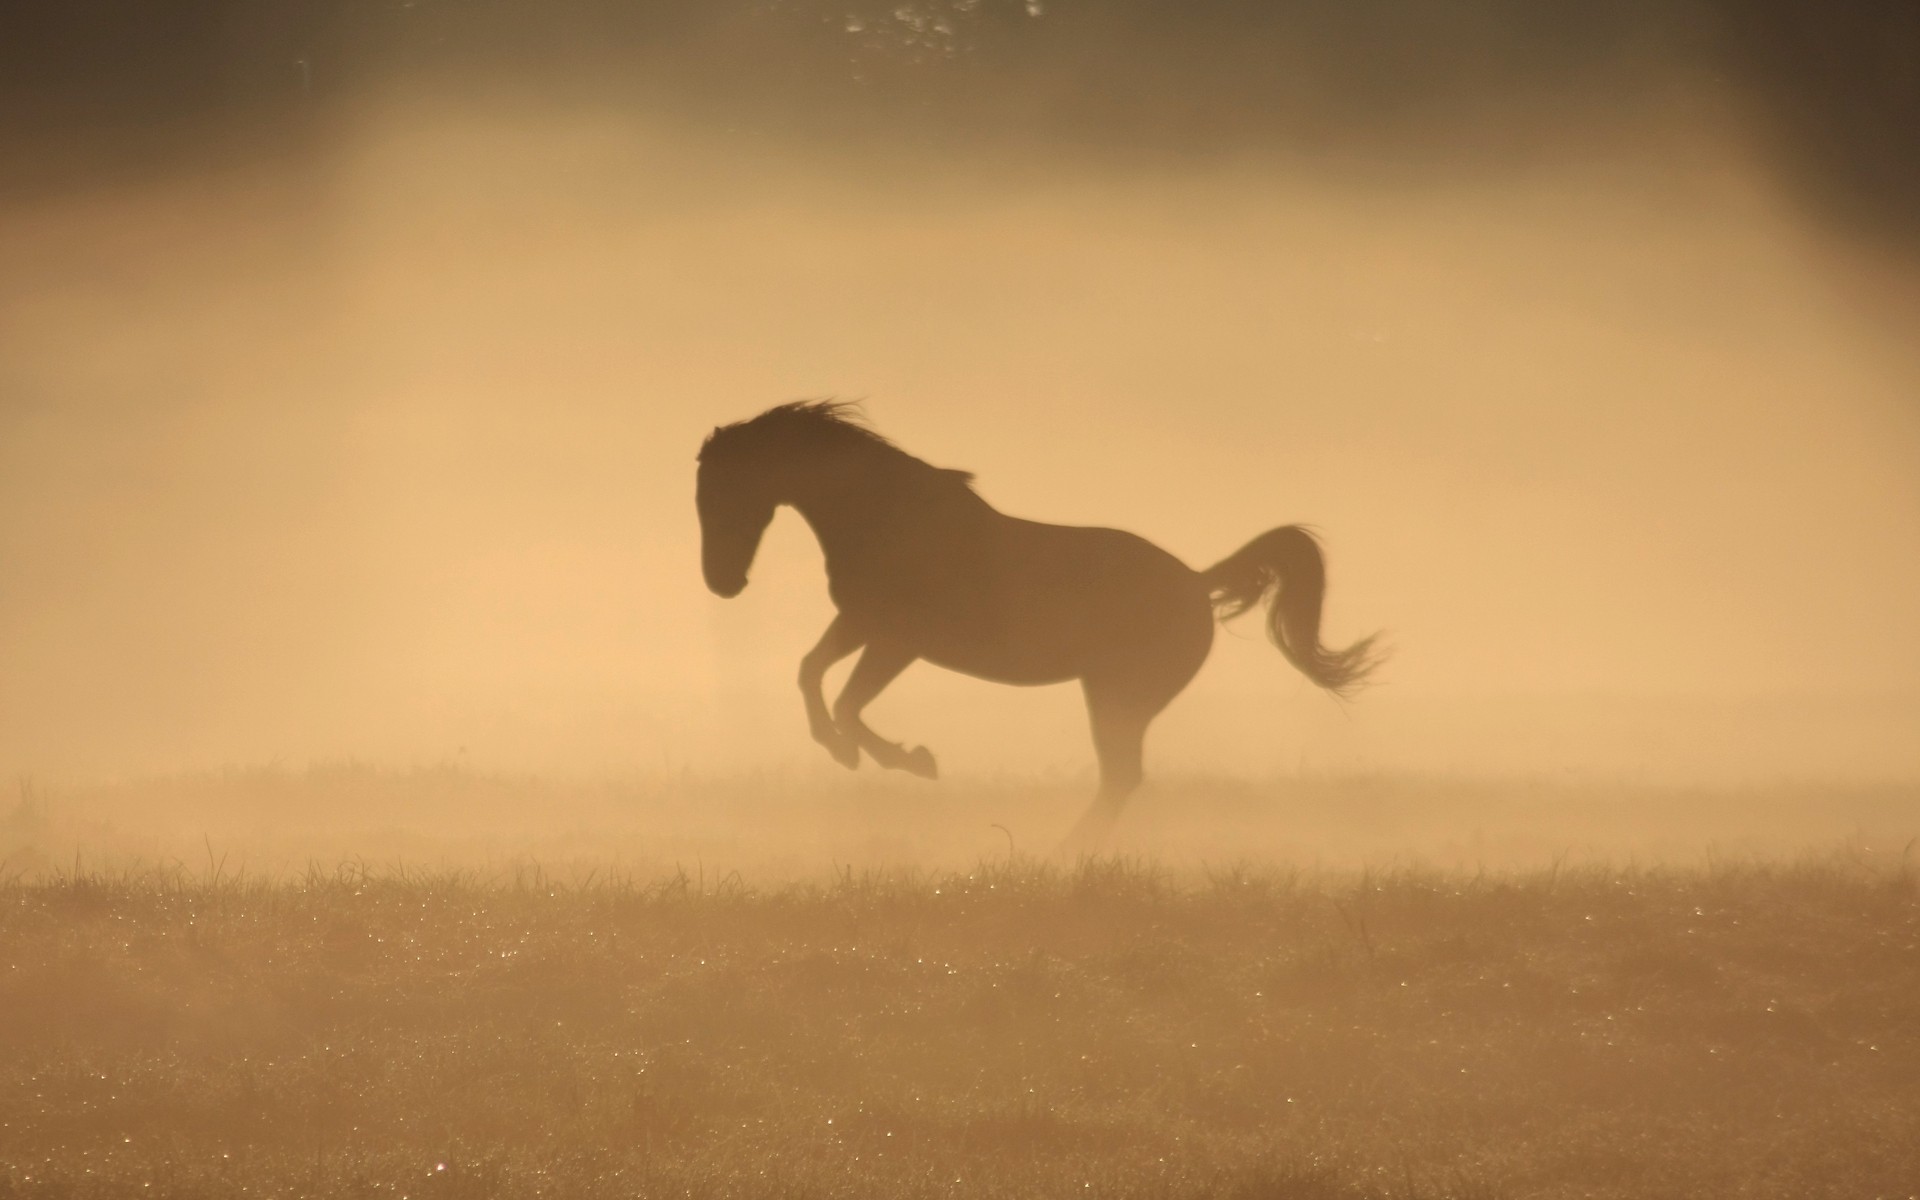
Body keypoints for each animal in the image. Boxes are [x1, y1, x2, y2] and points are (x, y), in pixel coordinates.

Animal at [695, 400, 1381, 848]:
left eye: (726, 490)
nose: (720, 583)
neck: (888, 518)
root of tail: (1195, 582)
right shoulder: (861, 624)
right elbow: (811, 674)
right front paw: (846, 752)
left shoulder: (897, 640)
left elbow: (845, 702)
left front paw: (910, 760)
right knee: (1120, 777)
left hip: (1116, 698)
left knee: (1121, 776)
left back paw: (1062, 856)